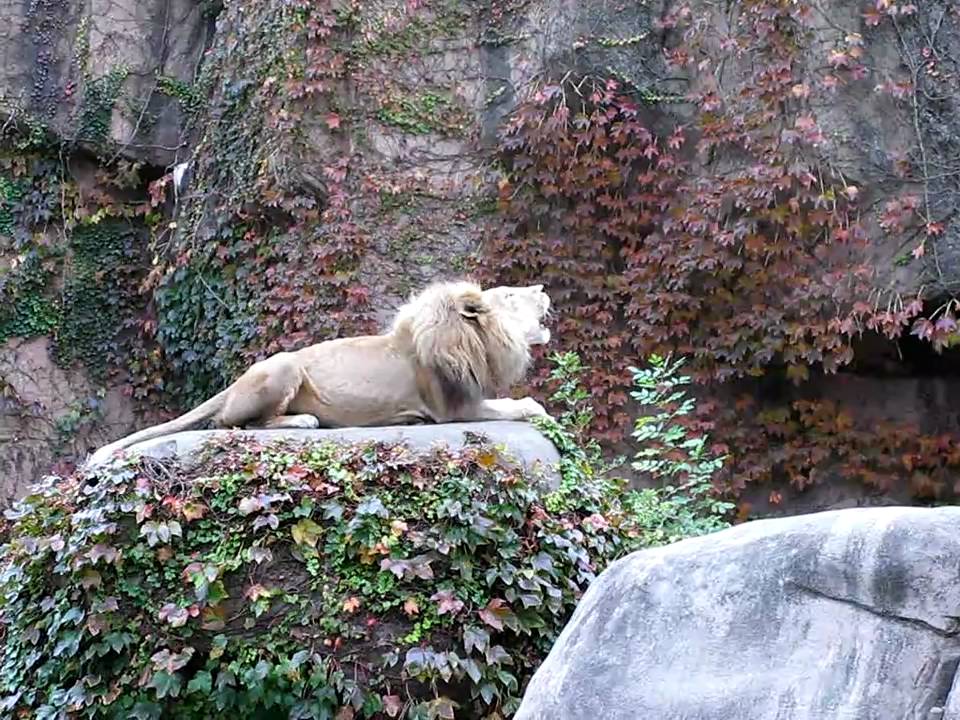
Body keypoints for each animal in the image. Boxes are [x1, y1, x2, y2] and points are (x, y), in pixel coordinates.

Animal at [85, 280, 553, 467]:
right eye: (512, 296)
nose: (543, 288)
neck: (476, 340)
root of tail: (232, 383)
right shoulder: (454, 408)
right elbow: (520, 405)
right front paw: (540, 411)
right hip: (285, 365)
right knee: (235, 423)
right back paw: (305, 420)